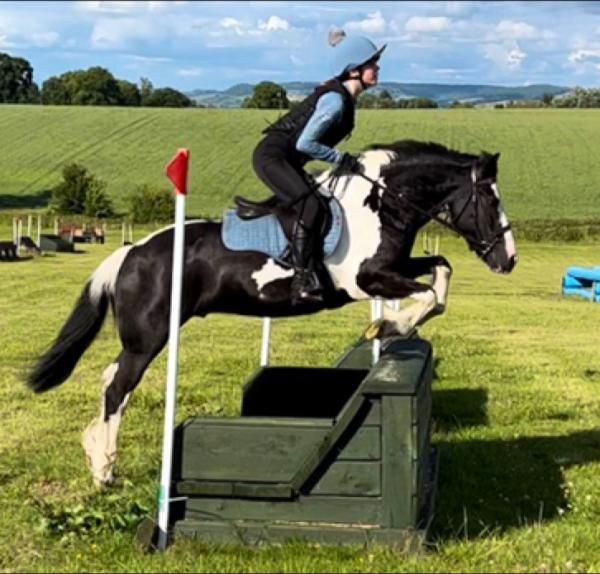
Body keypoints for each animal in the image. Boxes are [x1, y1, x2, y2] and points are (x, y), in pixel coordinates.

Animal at [27, 141, 516, 486]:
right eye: (492, 203)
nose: (508, 260)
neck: (381, 205)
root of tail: (129, 253)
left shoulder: (392, 269)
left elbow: (442, 272)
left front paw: (393, 326)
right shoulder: (366, 279)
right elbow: (430, 293)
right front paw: (391, 324)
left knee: (112, 381)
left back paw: (96, 454)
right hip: (148, 337)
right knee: (117, 387)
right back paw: (104, 469)